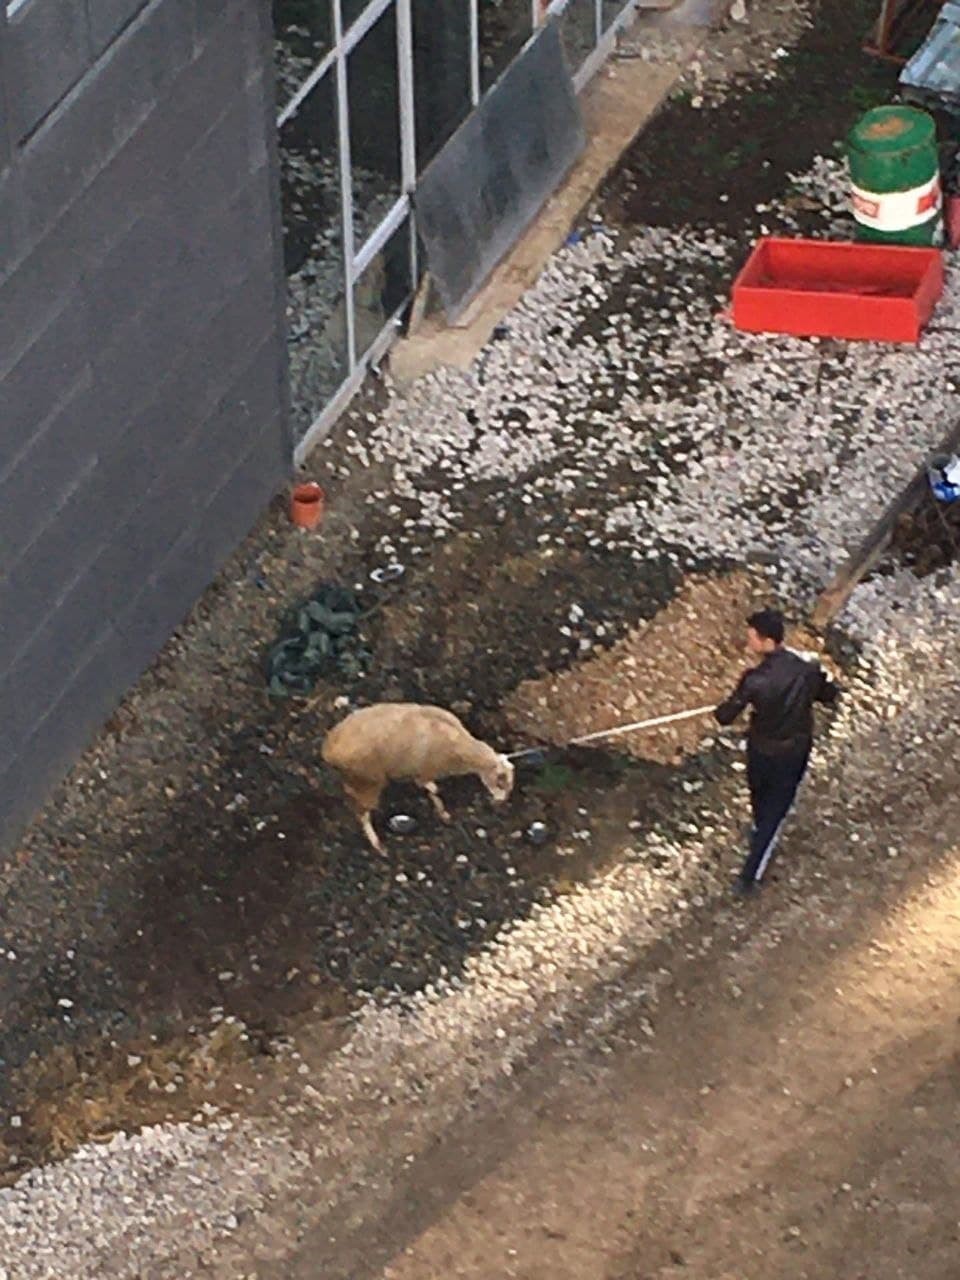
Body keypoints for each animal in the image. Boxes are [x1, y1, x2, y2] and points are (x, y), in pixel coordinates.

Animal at [321, 706, 519, 855]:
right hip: (368, 781)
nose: (502, 802)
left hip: (357, 779)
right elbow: (433, 789)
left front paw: (443, 813)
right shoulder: (424, 772)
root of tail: (329, 749)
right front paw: (443, 813)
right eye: (501, 781)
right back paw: (378, 845)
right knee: (362, 813)